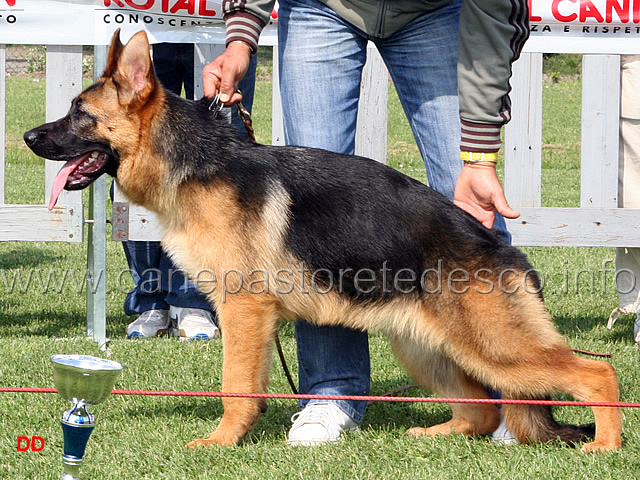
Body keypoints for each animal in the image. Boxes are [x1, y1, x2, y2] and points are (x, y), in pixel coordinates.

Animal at [23, 31, 620, 454]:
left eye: (80, 114)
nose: (28, 136)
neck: (198, 165)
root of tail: (501, 248)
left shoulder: (244, 311)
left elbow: (235, 384)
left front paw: (221, 441)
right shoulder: (251, 318)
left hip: (494, 347)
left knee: (597, 372)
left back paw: (605, 446)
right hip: (426, 346)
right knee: (483, 410)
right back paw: (438, 434)